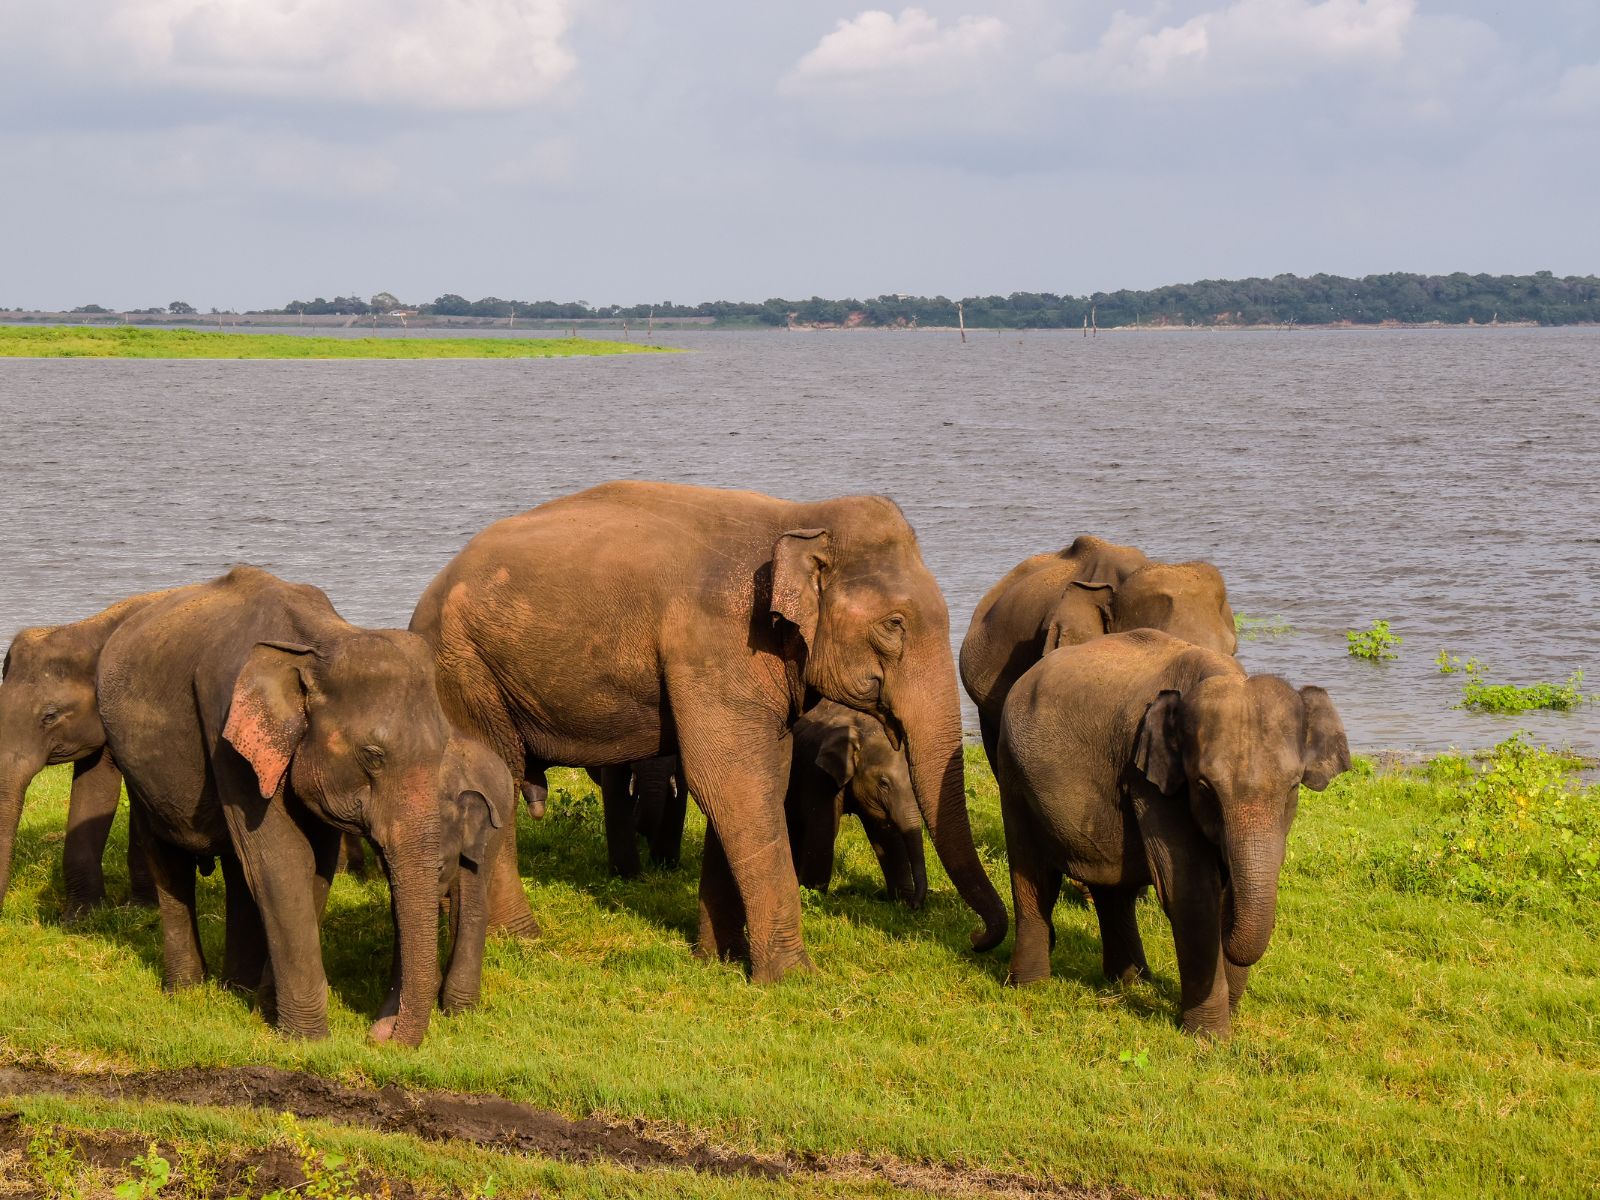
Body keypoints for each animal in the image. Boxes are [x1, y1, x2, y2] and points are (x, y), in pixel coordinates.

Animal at [96, 566, 452, 1046]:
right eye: (373, 755)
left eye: (444, 748)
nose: (381, 1034)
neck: (319, 644)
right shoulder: (225, 724)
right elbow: (281, 862)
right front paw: (307, 1039)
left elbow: (314, 864)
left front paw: (269, 1012)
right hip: (132, 761)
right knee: (168, 854)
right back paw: (185, 991)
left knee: (236, 864)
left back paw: (237, 990)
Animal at [786, 699, 924, 908]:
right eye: (883, 783)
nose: (916, 904)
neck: (862, 729)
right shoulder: (816, 772)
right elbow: (822, 830)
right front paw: (812, 898)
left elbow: (884, 832)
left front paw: (901, 902)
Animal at [995, 629, 1348, 1039]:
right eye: (1205, 788)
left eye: (1293, 787)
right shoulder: (1150, 782)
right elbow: (1190, 893)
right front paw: (1211, 1038)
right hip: (1013, 775)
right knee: (1034, 875)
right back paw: (1030, 987)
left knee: (1113, 886)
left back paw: (1131, 981)